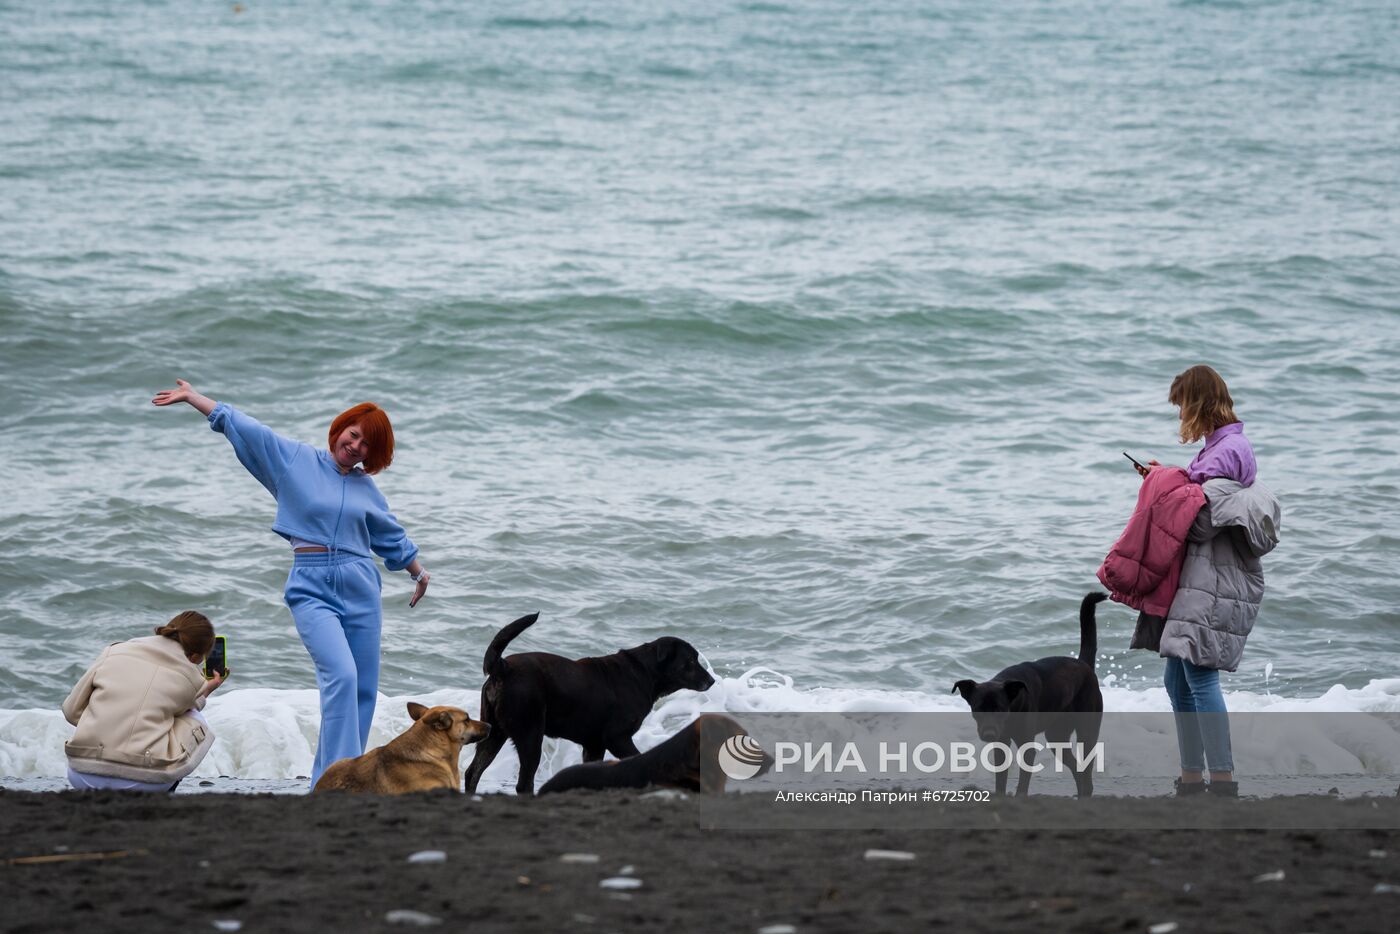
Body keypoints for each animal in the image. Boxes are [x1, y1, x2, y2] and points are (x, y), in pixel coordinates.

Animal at [464, 613, 716, 795]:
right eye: (690, 661)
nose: (712, 680)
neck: (644, 673)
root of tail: (503, 667)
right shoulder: (618, 738)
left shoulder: (594, 745)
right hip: (530, 734)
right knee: (523, 782)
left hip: (493, 733)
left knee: (472, 773)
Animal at [952, 590, 1103, 795]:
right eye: (978, 708)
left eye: (1000, 708)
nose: (989, 733)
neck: (1013, 704)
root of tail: (1084, 664)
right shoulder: (1001, 743)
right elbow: (1001, 780)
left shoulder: (1027, 746)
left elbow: (1022, 785)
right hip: (1056, 736)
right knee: (1077, 769)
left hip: (1087, 729)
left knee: (1086, 770)